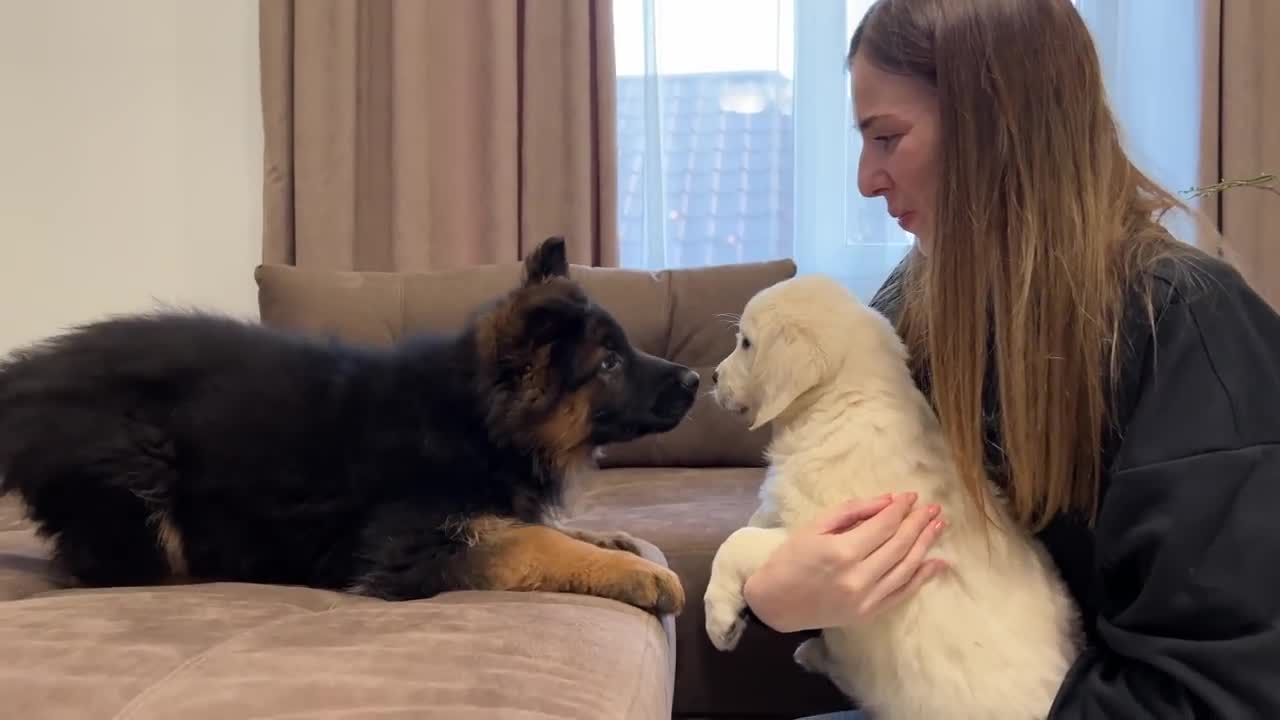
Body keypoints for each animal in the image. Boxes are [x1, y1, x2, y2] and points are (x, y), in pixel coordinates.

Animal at [0, 235, 691, 609]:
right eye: (608, 362)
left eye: (623, 351)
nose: (692, 380)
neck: (477, 419)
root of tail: (27, 380)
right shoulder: (414, 545)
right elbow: (531, 541)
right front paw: (639, 573)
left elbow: (538, 527)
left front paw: (609, 541)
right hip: (138, 472)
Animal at [701, 272, 1080, 717]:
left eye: (745, 343)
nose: (712, 377)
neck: (840, 404)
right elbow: (756, 518)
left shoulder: (828, 536)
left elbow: (737, 540)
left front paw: (719, 619)